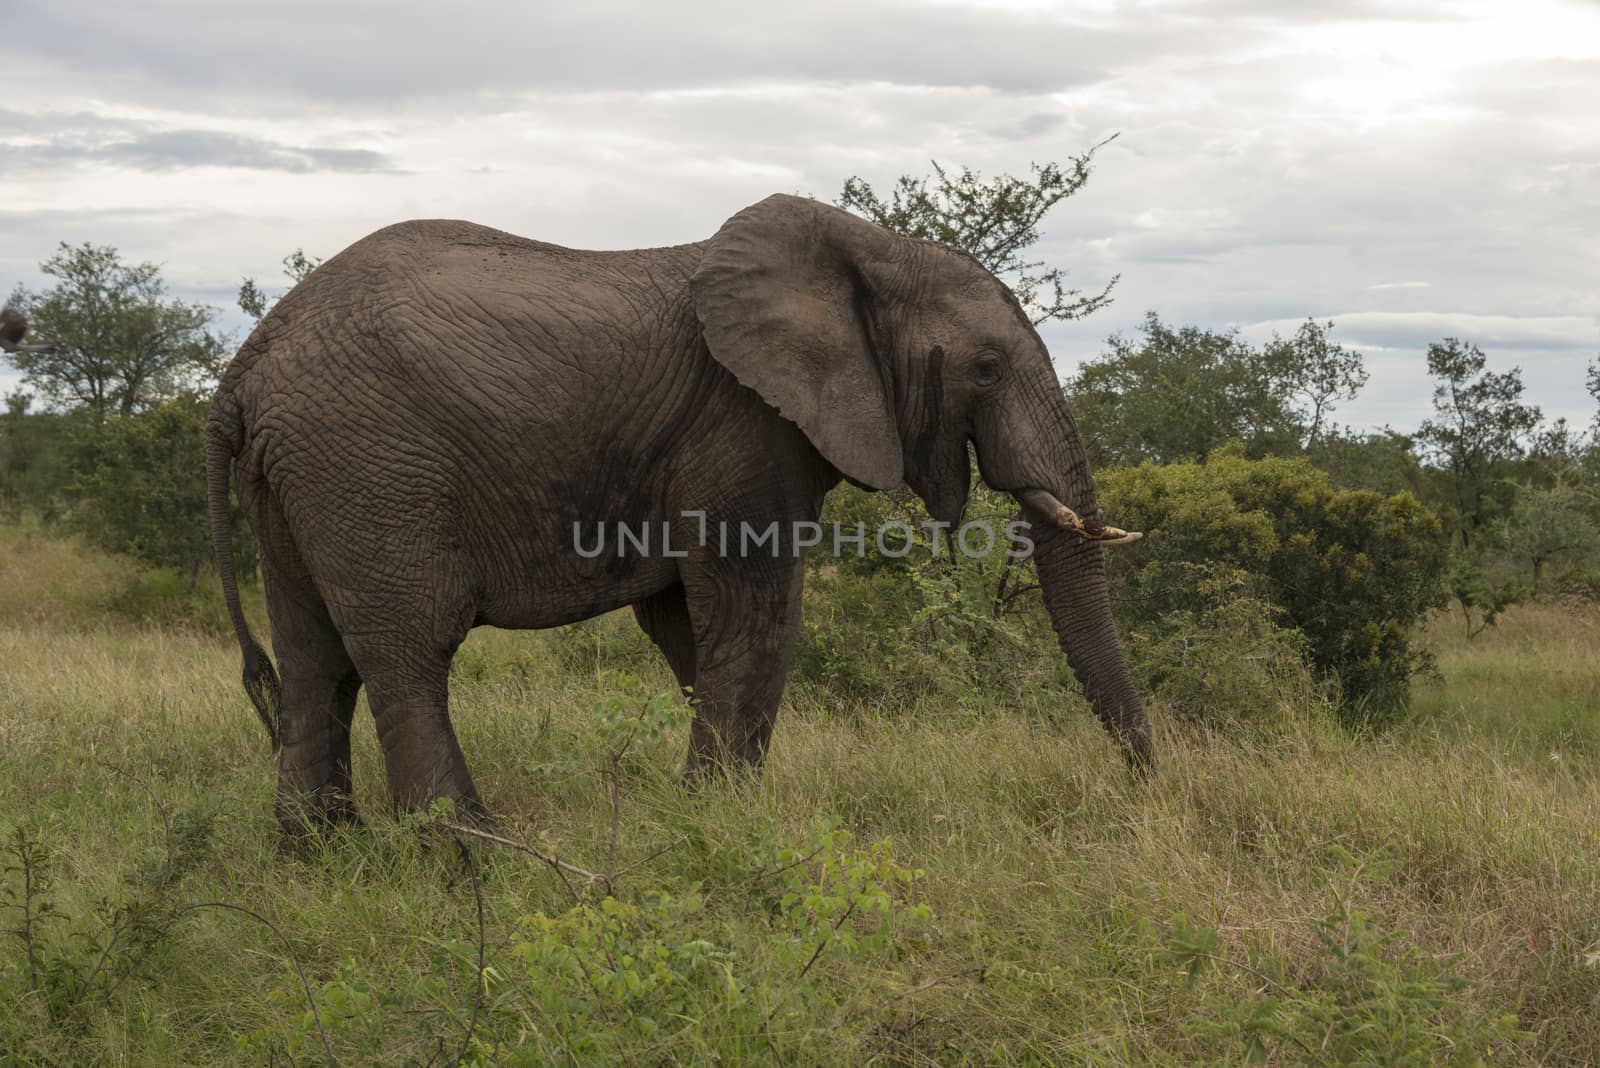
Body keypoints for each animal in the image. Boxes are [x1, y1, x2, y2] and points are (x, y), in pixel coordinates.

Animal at [209, 191, 1152, 831]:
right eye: (986, 368)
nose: (1145, 785)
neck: (868, 251)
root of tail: (245, 365)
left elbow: (687, 629)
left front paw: (715, 815)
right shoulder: (742, 426)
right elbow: (753, 615)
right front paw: (726, 825)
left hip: (301, 479)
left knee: (313, 659)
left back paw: (321, 858)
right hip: (368, 462)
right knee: (408, 650)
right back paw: (473, 859)